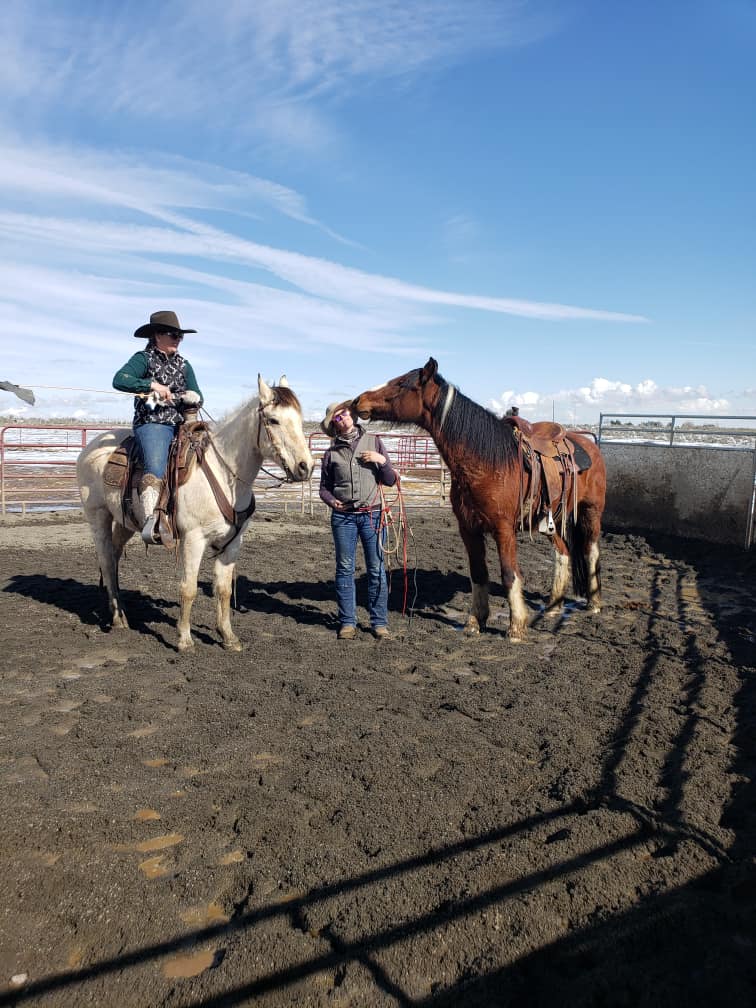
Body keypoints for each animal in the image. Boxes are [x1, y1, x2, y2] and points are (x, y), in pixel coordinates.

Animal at [77, 374, 314, 649]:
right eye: (273, 420)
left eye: (299, 419)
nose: (306, 467)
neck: (224, 474)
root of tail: (91, 446)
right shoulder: (193, 539)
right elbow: (188, 589)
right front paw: (184, 639)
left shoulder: (233, 542)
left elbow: (223, 589)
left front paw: (228, 637)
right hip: (98, 516)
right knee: (106, 560)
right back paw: (116, 619)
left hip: (126, 521)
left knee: (114, 558)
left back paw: (121, 612)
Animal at [356, 358, 608, 641]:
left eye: (402, 384)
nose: (358, 401)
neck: (485, 462)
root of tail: (588, 445)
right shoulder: (469, 529)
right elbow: (478, 574)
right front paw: (475, 621)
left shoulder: (503, 530)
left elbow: (509, 573)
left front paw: (516, 626)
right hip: (549, 520)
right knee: (563, 552)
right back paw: (554, 605)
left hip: (590, 512)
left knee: (591, 550)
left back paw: (594, 603)